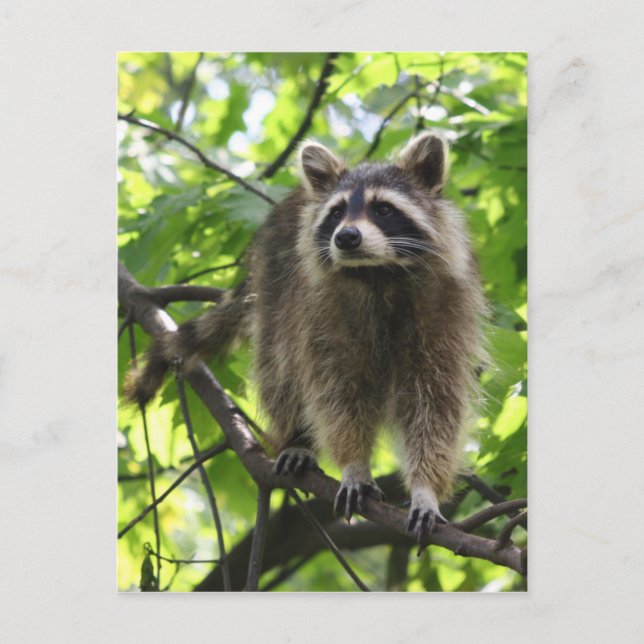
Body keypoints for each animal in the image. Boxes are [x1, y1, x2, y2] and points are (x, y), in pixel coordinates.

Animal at [126, 132, 487, 541]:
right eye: (337, 212)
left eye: (383, 209)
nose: (346, 237)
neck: (378, 273)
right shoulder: (323, 311)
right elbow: (338, 393)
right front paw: (354, 463)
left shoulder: (445, 308)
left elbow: (434, 402)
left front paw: (425, 487)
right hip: (274, 289)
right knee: (279, 369)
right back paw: (296, 437)